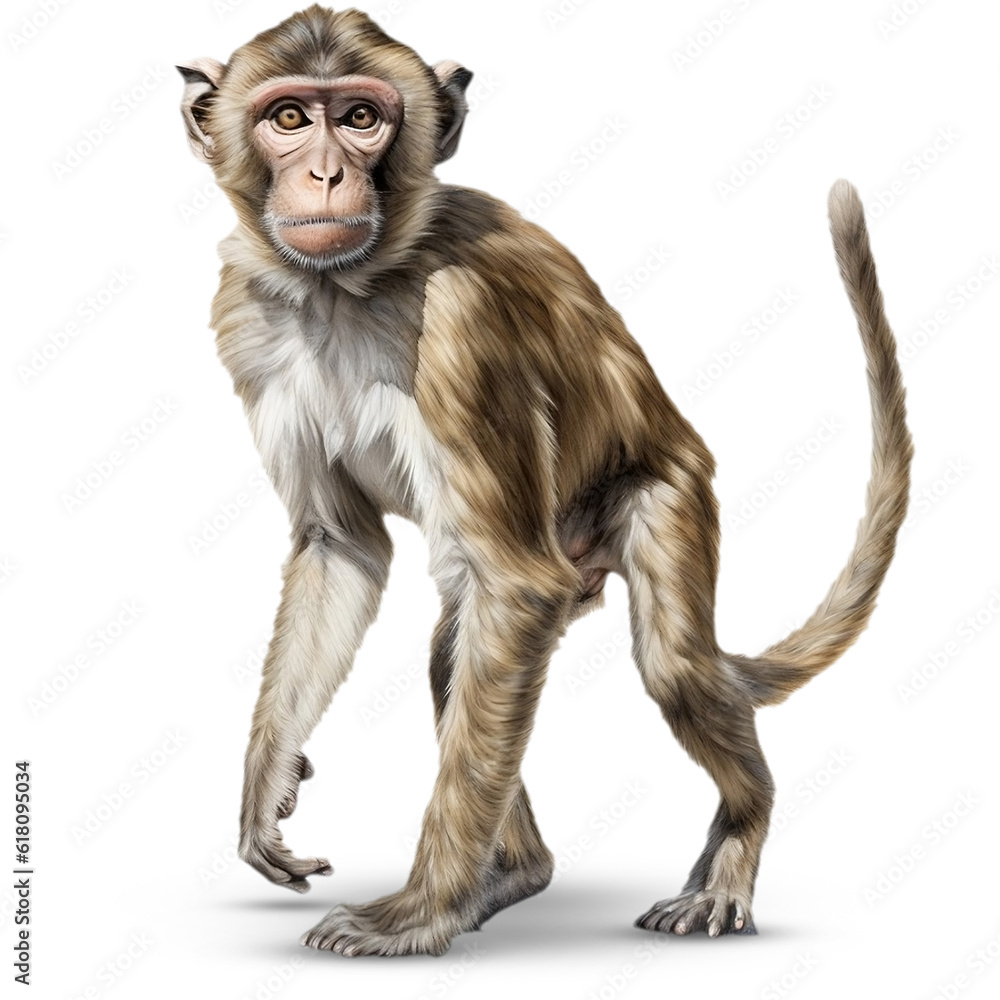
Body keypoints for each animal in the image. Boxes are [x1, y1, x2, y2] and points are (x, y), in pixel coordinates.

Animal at [177, 5, 912, 957]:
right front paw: (267, 784)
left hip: (669, 492)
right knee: (458, 653)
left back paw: (732, 837)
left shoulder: (462, 325)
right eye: (290, 117)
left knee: (668, 662)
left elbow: (517, 586)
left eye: (362, 118)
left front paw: (417, 914)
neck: (350, 287)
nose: (328, 173)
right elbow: (342, 549)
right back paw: (513, 876)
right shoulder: (248, 316)